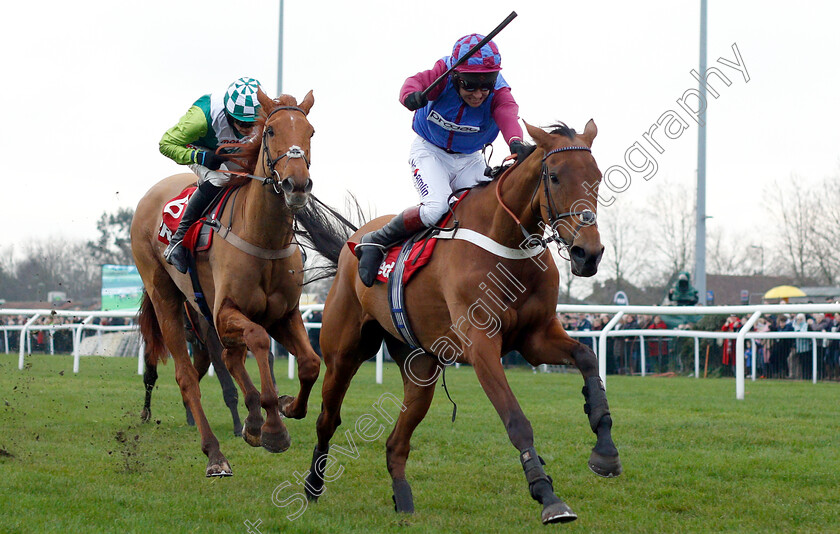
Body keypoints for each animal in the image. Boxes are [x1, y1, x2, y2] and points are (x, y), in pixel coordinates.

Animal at [131, 90, 322, 480]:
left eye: (310, 131)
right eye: (271, 132)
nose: (297, 185)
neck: (262, 236)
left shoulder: (285, 314)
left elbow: (311, 363)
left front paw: (286, 407)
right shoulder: (225, 313)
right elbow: (259, 341)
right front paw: (273, 429)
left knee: (230, 359)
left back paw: (250, 422)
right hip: (166, 298)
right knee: (187, 376)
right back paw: (215, 454)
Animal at [306, 120, 620, 524]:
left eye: (597, 177)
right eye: (554, 176)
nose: (588, 253)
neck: (507, 243)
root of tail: (353, 241)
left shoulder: (536, 337)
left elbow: (587, 358)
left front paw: (605, 450)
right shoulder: (481, 343)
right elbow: (516, 419)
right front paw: (547, 494)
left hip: (420, 368)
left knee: (396, 442)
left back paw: (404, 501)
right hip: (343, 353)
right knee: (327, 419)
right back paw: (312, 487)